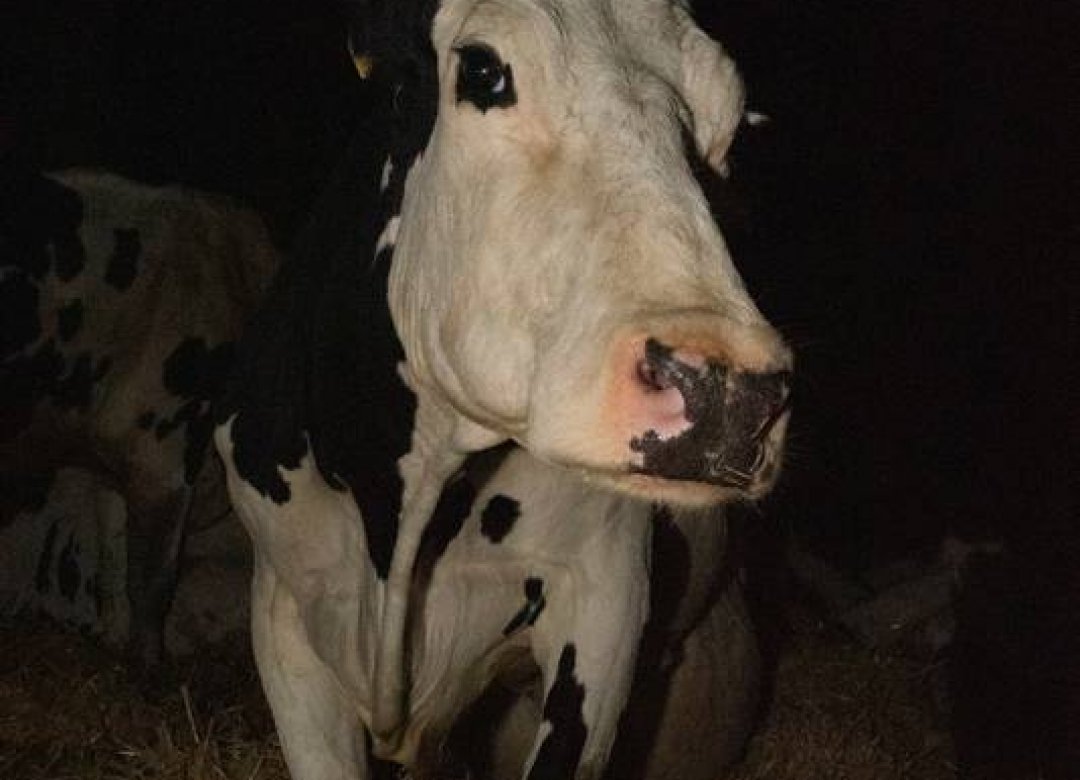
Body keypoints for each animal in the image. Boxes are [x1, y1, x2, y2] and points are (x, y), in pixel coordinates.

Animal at [1, 167, 280, 664]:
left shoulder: (112, 462)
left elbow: (114, 562)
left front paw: (116, 644)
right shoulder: (165, 446)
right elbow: (151, 581)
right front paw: (151, 665)